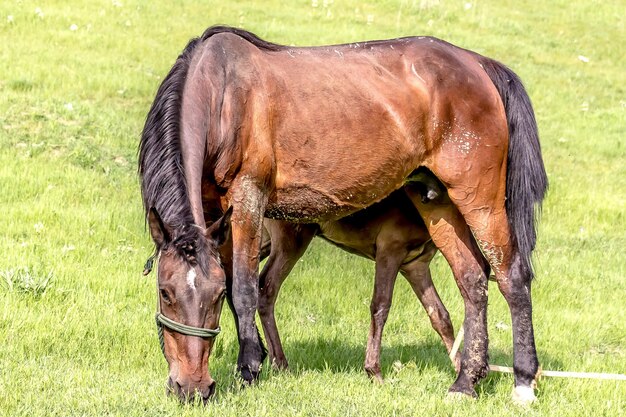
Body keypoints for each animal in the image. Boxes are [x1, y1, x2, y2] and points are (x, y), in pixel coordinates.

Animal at [138, 26, 544, 404]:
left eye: (216, 296)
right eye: (165, 292)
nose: (192, 388)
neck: (222, 92)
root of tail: (478, 64)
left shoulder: (247, 199)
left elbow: (245, 289)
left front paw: (250, 369)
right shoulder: (215, 216)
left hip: (479, 199)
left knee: (511, 277)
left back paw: (523, 381)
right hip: (437, 203)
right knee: (472, 280)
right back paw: (466, 381)